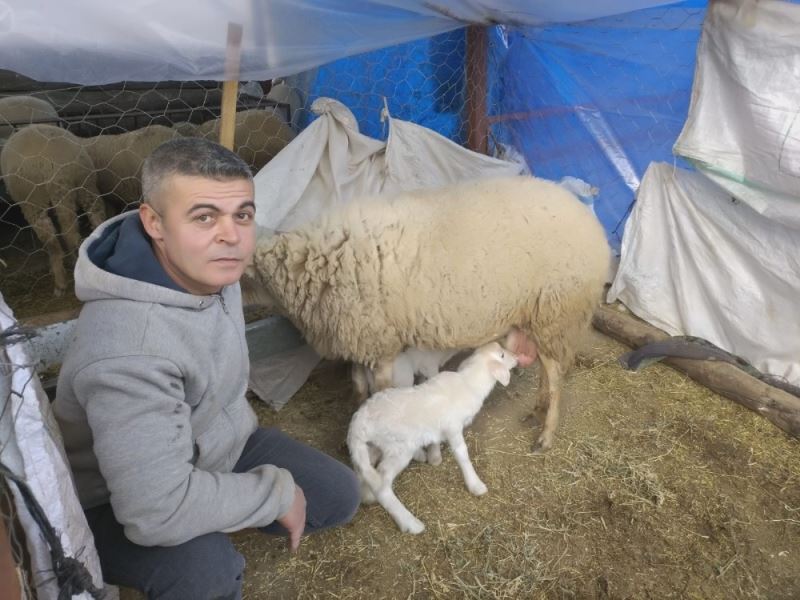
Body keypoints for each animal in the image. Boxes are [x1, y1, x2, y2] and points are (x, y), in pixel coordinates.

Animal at [253, 176, 608, 452]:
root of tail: (594, 229)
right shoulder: (362, 338)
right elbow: (357, 387)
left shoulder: (381, 345)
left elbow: (378, 394)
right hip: (537, 318)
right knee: (548, 371)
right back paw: (537, 409)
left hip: (556, 311)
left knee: (556, 375)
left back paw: (546, 434)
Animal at [346, 342, 516, 536]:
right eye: (502, 355)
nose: (517, 358)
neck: (468, 383)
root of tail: (358, 424)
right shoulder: (453, 427)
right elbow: (462, 455)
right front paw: (475, 484)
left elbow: (435, 438)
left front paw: (434, 456)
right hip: (399, 449)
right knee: (382, 486)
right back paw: (410, 523)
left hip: (371, 447)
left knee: (363, 472)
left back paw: (367, 495)